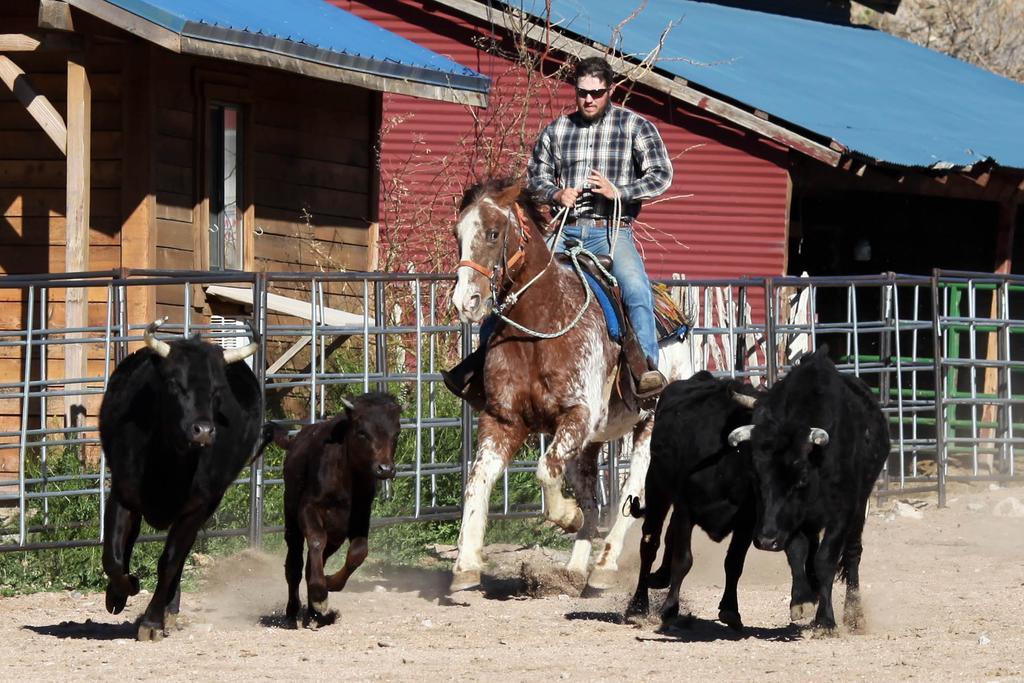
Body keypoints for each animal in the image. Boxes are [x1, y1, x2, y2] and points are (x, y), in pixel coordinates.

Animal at [98, 317, 262, 643]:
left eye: (217, 391)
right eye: (175, 383)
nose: (203, 430)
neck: (167, 464)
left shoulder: (196, 507)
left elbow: (170, 561)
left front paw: (152, 621)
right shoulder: (123, 494)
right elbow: (113, 556)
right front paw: (123, 589)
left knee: (180, 556)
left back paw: (169, 611)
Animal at [276, 393, 403, 626]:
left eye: (396, 432)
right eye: (362, 432)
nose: (385, 469)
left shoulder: (359, 517)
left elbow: (358, 552)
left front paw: (327, 583)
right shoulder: (308, 509)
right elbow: (316, 540)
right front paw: (319, 595)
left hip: (335, 536)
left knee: (313, 563)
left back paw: (313, 613)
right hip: (291, 522)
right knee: (294, 565)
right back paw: (293, 610)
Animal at [448, 181, 688, 593]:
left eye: (493, 233)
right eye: (457, 234)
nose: (467, 301)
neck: (541, 325)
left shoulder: (578, 415)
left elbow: (545, 470)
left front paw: (565, 515)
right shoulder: (503, 419)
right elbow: (478, 480)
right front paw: (466, 564)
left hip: (650, 427)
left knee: (631, 492)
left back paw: (605, 566)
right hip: (588, 447)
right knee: (592, 500)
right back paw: (576, 568)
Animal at [618, 374, 819, 630]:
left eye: (800, 460)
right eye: (762, 444)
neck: (728, 467)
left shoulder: (747, 522)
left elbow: (734, 563)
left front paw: (730, 609)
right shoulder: (685, 510)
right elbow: (683, 560)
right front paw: (670, 608)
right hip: (656, 487)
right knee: (650, 543)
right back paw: (638, 606)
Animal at [729, 348, 888, 634]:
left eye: (800, 477)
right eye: (756, 475)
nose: (766, 540)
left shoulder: (841, 513)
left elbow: (825, 560)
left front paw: (825, 620)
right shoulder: (790, 520)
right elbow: (797, 553)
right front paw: (801, 600)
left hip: (860, 507)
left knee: (852, 554)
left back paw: (854, 614)